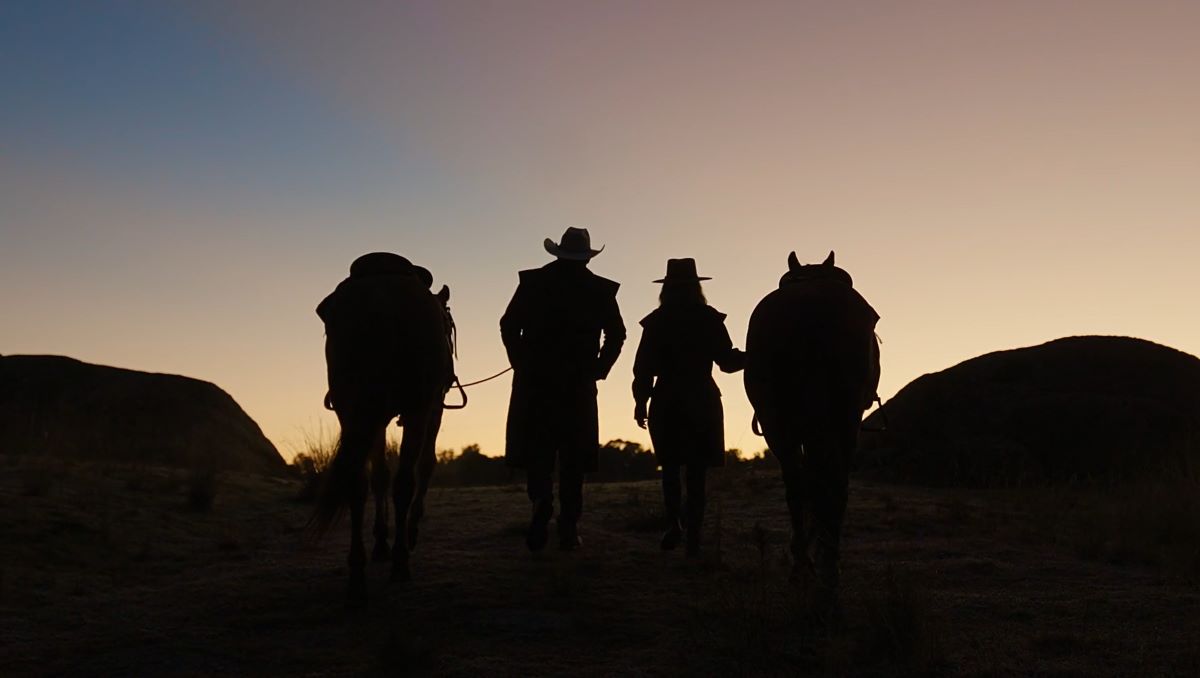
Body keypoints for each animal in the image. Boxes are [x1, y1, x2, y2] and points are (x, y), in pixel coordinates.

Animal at [309, 252, 453, 602]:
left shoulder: (374, 419)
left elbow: (378, 478)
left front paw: (379, 542)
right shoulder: (430, 409)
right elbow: (423, 467)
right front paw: (407, 534)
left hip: (353, 409)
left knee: (356, 483)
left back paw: (357, 576)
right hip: (415, 409)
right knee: (403, 483)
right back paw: (400, 561)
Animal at [739, 250, 883, 595]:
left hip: (780, 425)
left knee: (798, 485)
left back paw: (807, 564)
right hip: (841, 422)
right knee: (832, 483)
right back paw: (824, 563)